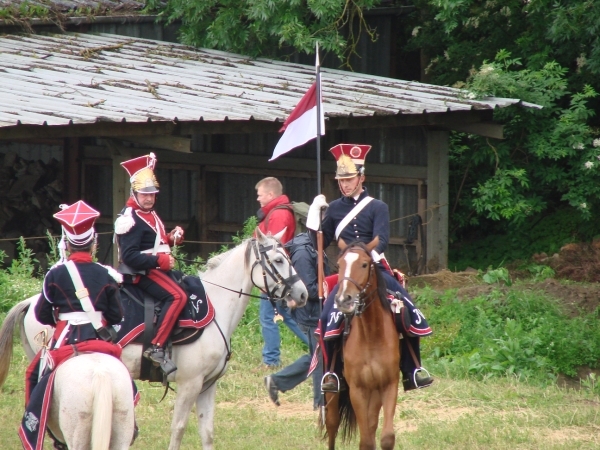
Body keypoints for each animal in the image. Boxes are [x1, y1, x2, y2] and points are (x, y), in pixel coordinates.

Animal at [1, 230, 304, 448]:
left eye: (289, 258)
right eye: (278, 261)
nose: (302, 294)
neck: (216, 306)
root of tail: (31, 302)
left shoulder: (208, 385)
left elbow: (207, 432)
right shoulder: (190, 384)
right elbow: (178, 428)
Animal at [322, 237, 400, 448]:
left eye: (364, 264)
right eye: (340, 264)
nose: (343, 299)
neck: (371, 335)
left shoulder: (388, 384)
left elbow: (386, 437)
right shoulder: (357, 390)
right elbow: (365, 441)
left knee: (372, 425)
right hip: (333, 388)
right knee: (332, 424)